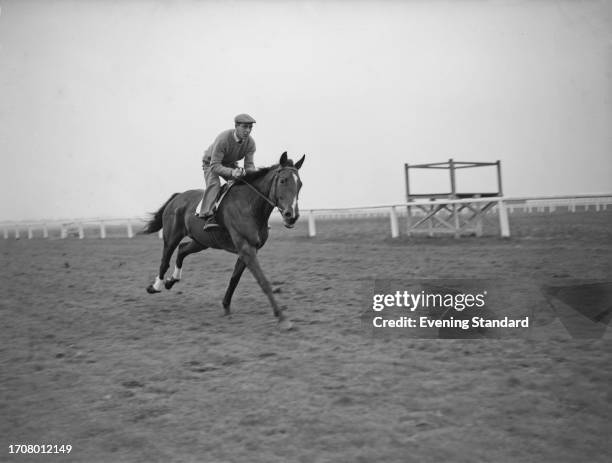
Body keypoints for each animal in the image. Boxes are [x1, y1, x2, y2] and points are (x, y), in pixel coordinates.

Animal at [143, 152, 306, 330]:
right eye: (283, 180)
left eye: (300, 184)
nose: (292, 216)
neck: (250, 205)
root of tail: (178, 196)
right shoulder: (245, 247)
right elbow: (263, 281)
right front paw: (282, 318)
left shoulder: (250, 249)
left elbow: (234, 278)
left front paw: (226, 306)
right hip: (171, 236)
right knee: (165, 259)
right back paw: (156, 286)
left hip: (202, 241)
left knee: (182, 249)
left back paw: (171, 281)